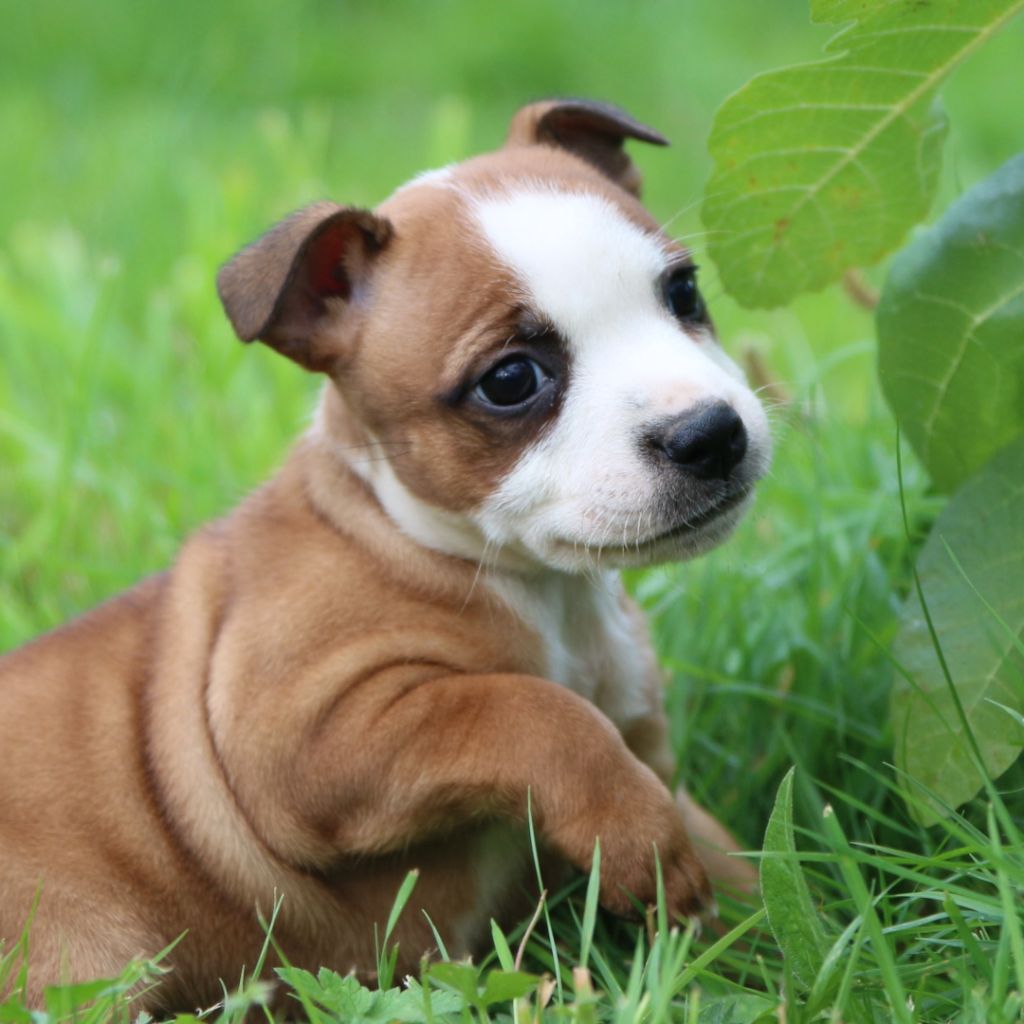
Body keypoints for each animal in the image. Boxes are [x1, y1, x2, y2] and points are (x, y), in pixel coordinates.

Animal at [0, 99, 770, 1011]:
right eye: (512, 380)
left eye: (683, 292)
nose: (710, 433)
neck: (542, 590)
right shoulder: (311, 738)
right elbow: (527, 710)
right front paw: (640, 840)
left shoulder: (642, 736)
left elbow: (732, 861)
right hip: (85, 960)